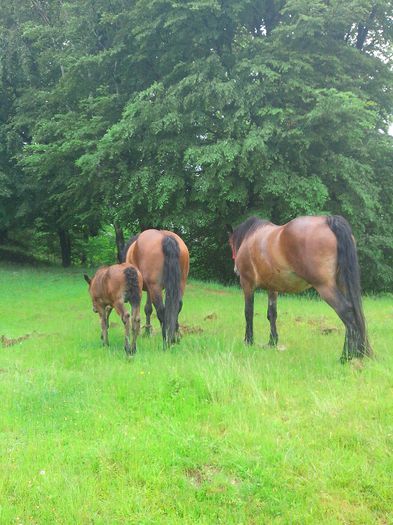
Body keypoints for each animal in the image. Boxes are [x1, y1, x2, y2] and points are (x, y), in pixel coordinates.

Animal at [227, 215, 370, 362]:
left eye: (230, 243)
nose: (235, 270)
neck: (250, 236)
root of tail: (327, 220)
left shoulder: (247, 284)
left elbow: (248, 312)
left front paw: (248, 340)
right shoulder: (272, 288)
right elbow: (272, 314)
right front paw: (272, 342)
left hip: (325, 287)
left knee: (346, 312)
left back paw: (345, 357)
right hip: (342, 285)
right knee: (354, 313)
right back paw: (356, 354)